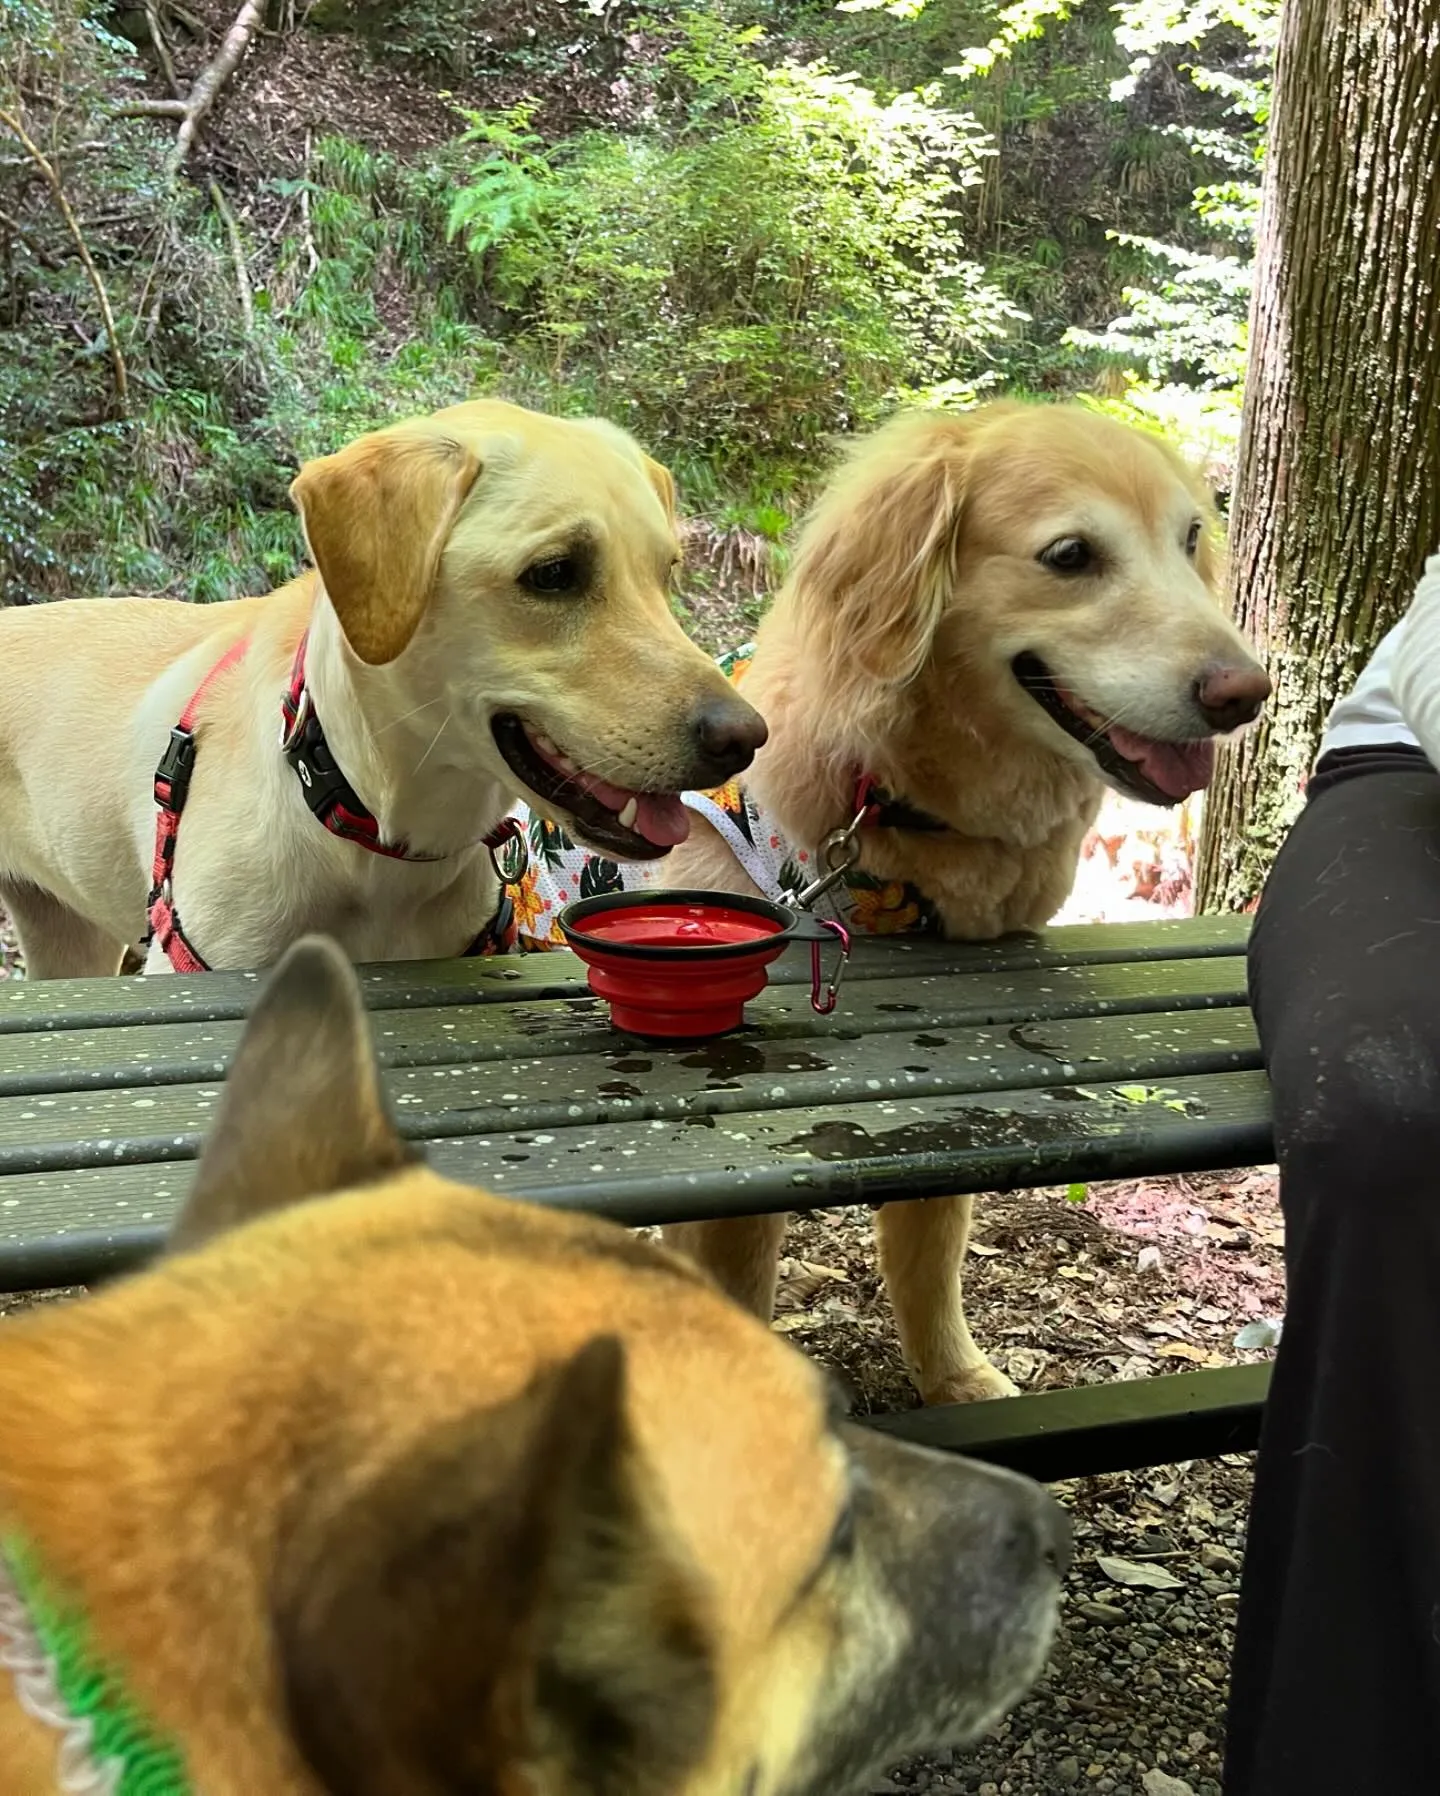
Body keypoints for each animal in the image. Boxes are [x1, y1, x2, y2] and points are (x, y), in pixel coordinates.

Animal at [657, 407, 1264, 1415]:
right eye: (1070, 555)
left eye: (1189, 540)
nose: (1247, 693)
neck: (898, 800)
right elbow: (739, 1276)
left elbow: (928, 1248)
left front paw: (956, 1379)